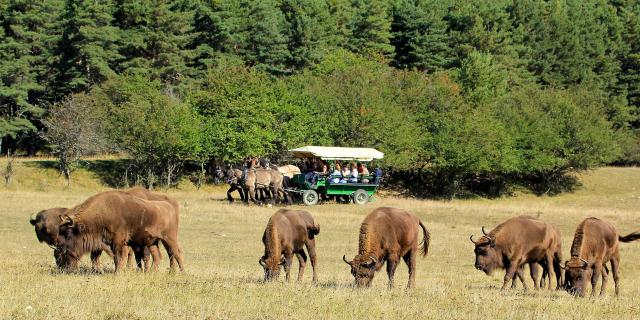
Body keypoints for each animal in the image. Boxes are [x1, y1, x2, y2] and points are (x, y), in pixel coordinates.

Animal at [57, 190, 185, 272]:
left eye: (68, 234)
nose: (61, 250)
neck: (105, 212)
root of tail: (169, 206)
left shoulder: (118, 242)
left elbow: (118, 257)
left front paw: (117, 272)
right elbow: (105, 257)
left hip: (169, 238)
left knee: (176, 253)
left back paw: (180, 272)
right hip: (153, 242)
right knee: (157, 256)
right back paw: (152, 272)